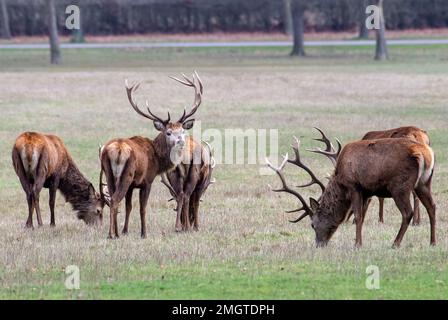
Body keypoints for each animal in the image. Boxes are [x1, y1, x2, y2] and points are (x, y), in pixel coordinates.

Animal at [100, 72, 205, 238]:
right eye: (168, 132)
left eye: (182, 130)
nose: (181, 141)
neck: (157, 159)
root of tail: (116, 149)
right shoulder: (147, 180)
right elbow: (142, 208)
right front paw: (144, 233)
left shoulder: (132, 186)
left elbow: (129, 206)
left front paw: (124, 231)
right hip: (126, 174)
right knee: (115, 200)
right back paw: (111, 235)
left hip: (109, 173)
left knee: (112, 199)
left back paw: (115, 233)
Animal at [268, 132, 436, 248]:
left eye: (312, 224)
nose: (319, 244)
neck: (340, 180)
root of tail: (423, 153)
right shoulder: (367, 192)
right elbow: (361, 215)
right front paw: (358, 241)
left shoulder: (354, 186)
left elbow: (358, 215)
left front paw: (357, 245)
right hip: (424, 182)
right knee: (432, 207)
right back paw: (433, 242)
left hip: (400, 186)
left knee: (407, 212)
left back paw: (395, 243)